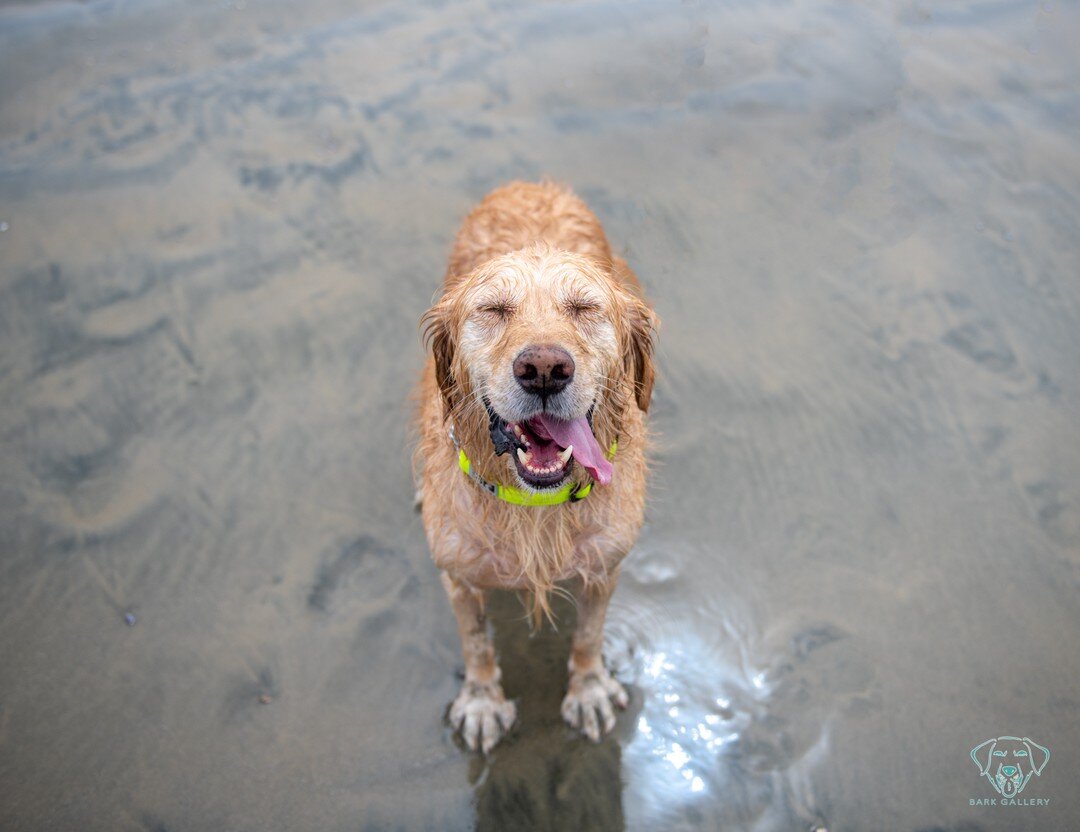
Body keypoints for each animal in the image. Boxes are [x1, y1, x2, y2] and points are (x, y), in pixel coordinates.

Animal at [414, 181, 656, 752]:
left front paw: (589, 689)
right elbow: (476, 642)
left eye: (584, 307)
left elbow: (588, 635)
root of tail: (530, 183)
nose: (544, 368)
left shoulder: (604, 564)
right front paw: (482, 700)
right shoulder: (459, 574)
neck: (533, 506)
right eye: (494, 309)